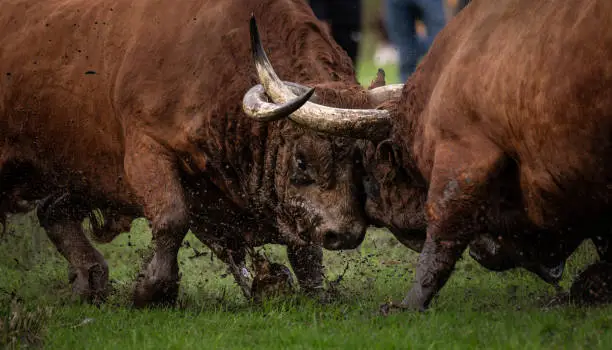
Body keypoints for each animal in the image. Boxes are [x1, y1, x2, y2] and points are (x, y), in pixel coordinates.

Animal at [0, 0, 388, 306]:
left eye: (362, 164)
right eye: (302, 159)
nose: (345, 234)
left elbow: (305, 248)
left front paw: (313, 290)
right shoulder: (145, 151)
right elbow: (172, 218)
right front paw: (152, 291)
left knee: (52, 211)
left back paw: (89, 278)